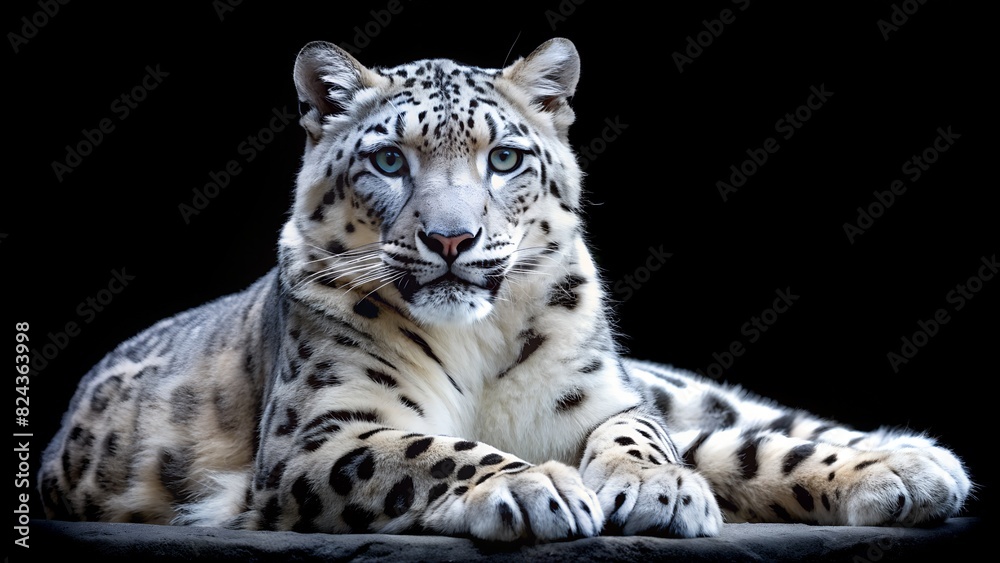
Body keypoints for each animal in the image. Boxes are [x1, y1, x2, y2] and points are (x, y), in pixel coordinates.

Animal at [39, 38, 972, 541]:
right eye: (389, 159)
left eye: (506, 157)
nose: (451, 238)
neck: (477, 344)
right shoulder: (320, 435)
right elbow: (426, 449)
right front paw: (533, 486)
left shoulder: (601, 397)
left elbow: (643, 434)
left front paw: (656, 488)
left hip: (671, 389)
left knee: (739, 428)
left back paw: (915, 464)